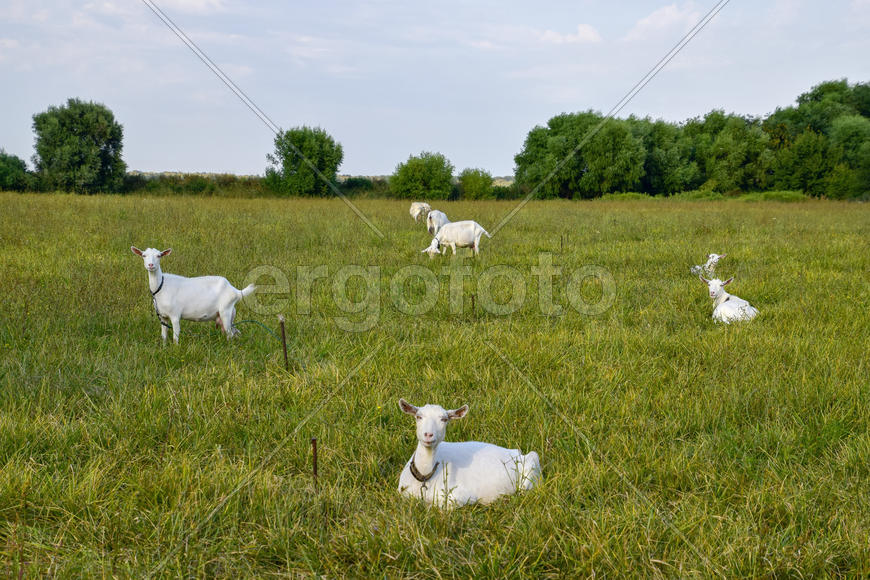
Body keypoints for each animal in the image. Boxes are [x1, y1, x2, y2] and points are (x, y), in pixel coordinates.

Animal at [398, 398, 541, 508]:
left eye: (444, 419)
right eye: (418, 416)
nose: (428, 434)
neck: (424, 478)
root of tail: (517, 453)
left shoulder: (461, 496)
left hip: (532, 467)